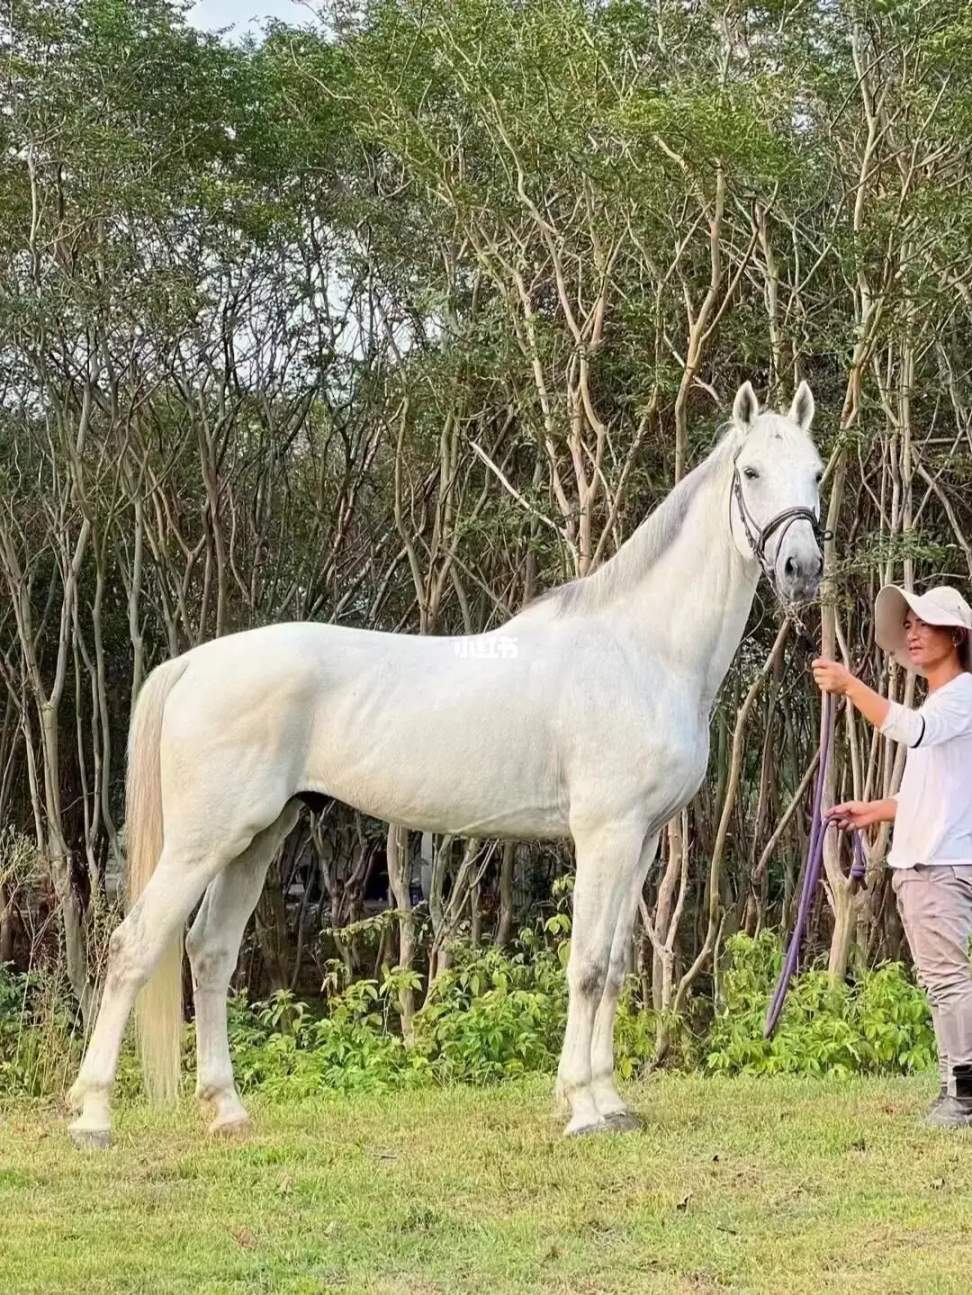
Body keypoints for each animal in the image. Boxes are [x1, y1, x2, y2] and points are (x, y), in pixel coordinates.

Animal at [66, 380, 823, 1144]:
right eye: (751, 472)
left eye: (816, 472)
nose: (803, 570)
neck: (641, 651)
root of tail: (194, 664)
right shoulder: (604, 834)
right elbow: (584, 967)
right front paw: (581, 1108)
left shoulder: (639, 842)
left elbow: (613, 967)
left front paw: (611, 1102)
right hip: (203, 841)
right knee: (134, 945)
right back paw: (93, 1114)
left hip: (259, 837)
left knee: (210, 950)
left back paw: (226, 1109)